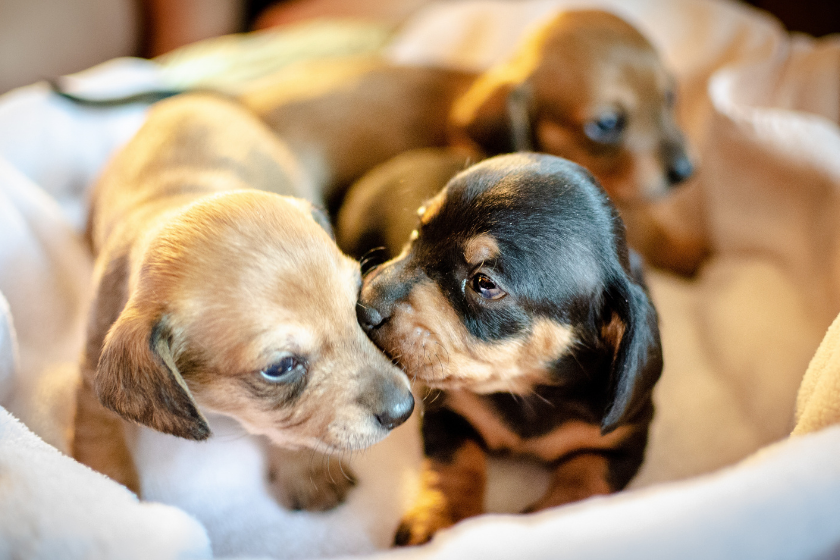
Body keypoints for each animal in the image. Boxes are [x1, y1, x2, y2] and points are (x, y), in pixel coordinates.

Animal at [74, 94, 416, 510]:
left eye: (356, 304)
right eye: (280, 367)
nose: (404, 410)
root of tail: (194, 97)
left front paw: (306, 471)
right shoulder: (90, 378)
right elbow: (98, 442)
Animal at [354, 152, 664, 544]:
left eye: (484, 283)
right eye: (417, 233)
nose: (362, 307)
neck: (527, 390)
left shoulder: (622, 443)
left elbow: (585, 482)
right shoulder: (449, 412)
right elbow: (455, 464)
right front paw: (439, 518)